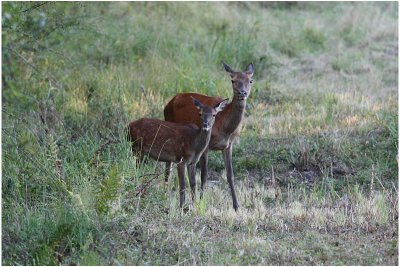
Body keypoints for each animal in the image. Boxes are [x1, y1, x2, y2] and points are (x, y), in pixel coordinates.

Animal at [162, 61, 253, 211]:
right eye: (233, 80)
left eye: (250, 80)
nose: (242, 93)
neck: (225, 127)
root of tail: (168, 103)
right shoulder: (206, 146)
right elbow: (204, 175)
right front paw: (200, 202)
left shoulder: (229, 145)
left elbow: (230, 175)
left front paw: (236, 206)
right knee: (168, 164)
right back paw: (164, 191)